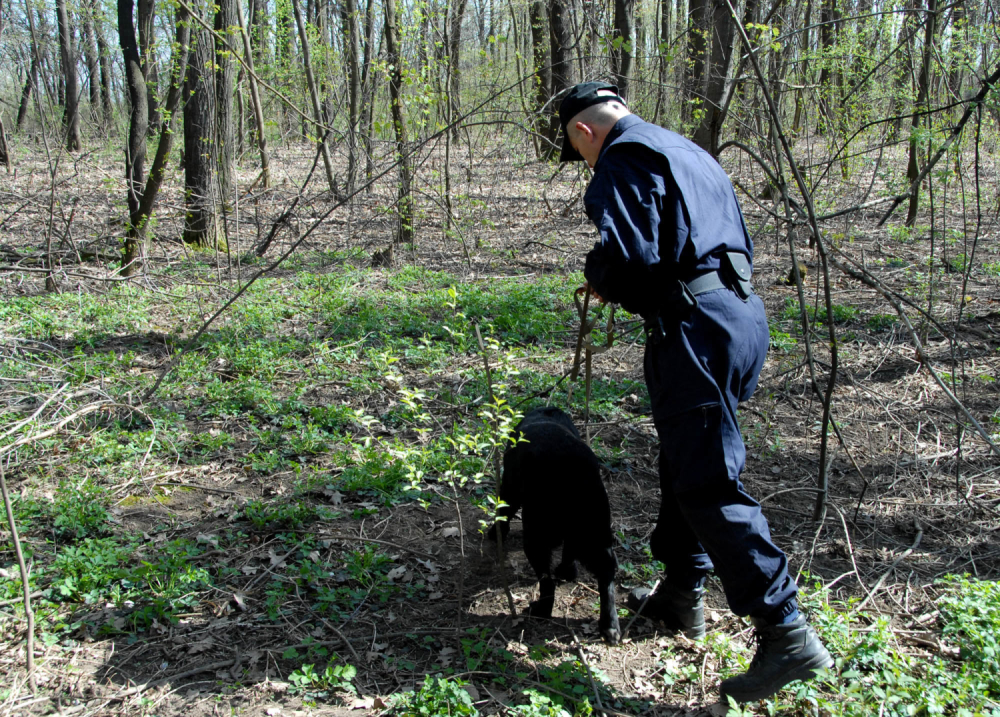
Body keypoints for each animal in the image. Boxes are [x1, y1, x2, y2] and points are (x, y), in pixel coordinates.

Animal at [486, 408, 616, 644]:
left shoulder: (510, 486)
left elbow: (503, 511)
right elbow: (569, 553)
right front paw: (567, 571)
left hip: (535, 533)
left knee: (547, 582)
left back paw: (542, 611)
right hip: (595, 533)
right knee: (606, 572)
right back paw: (610, 626)